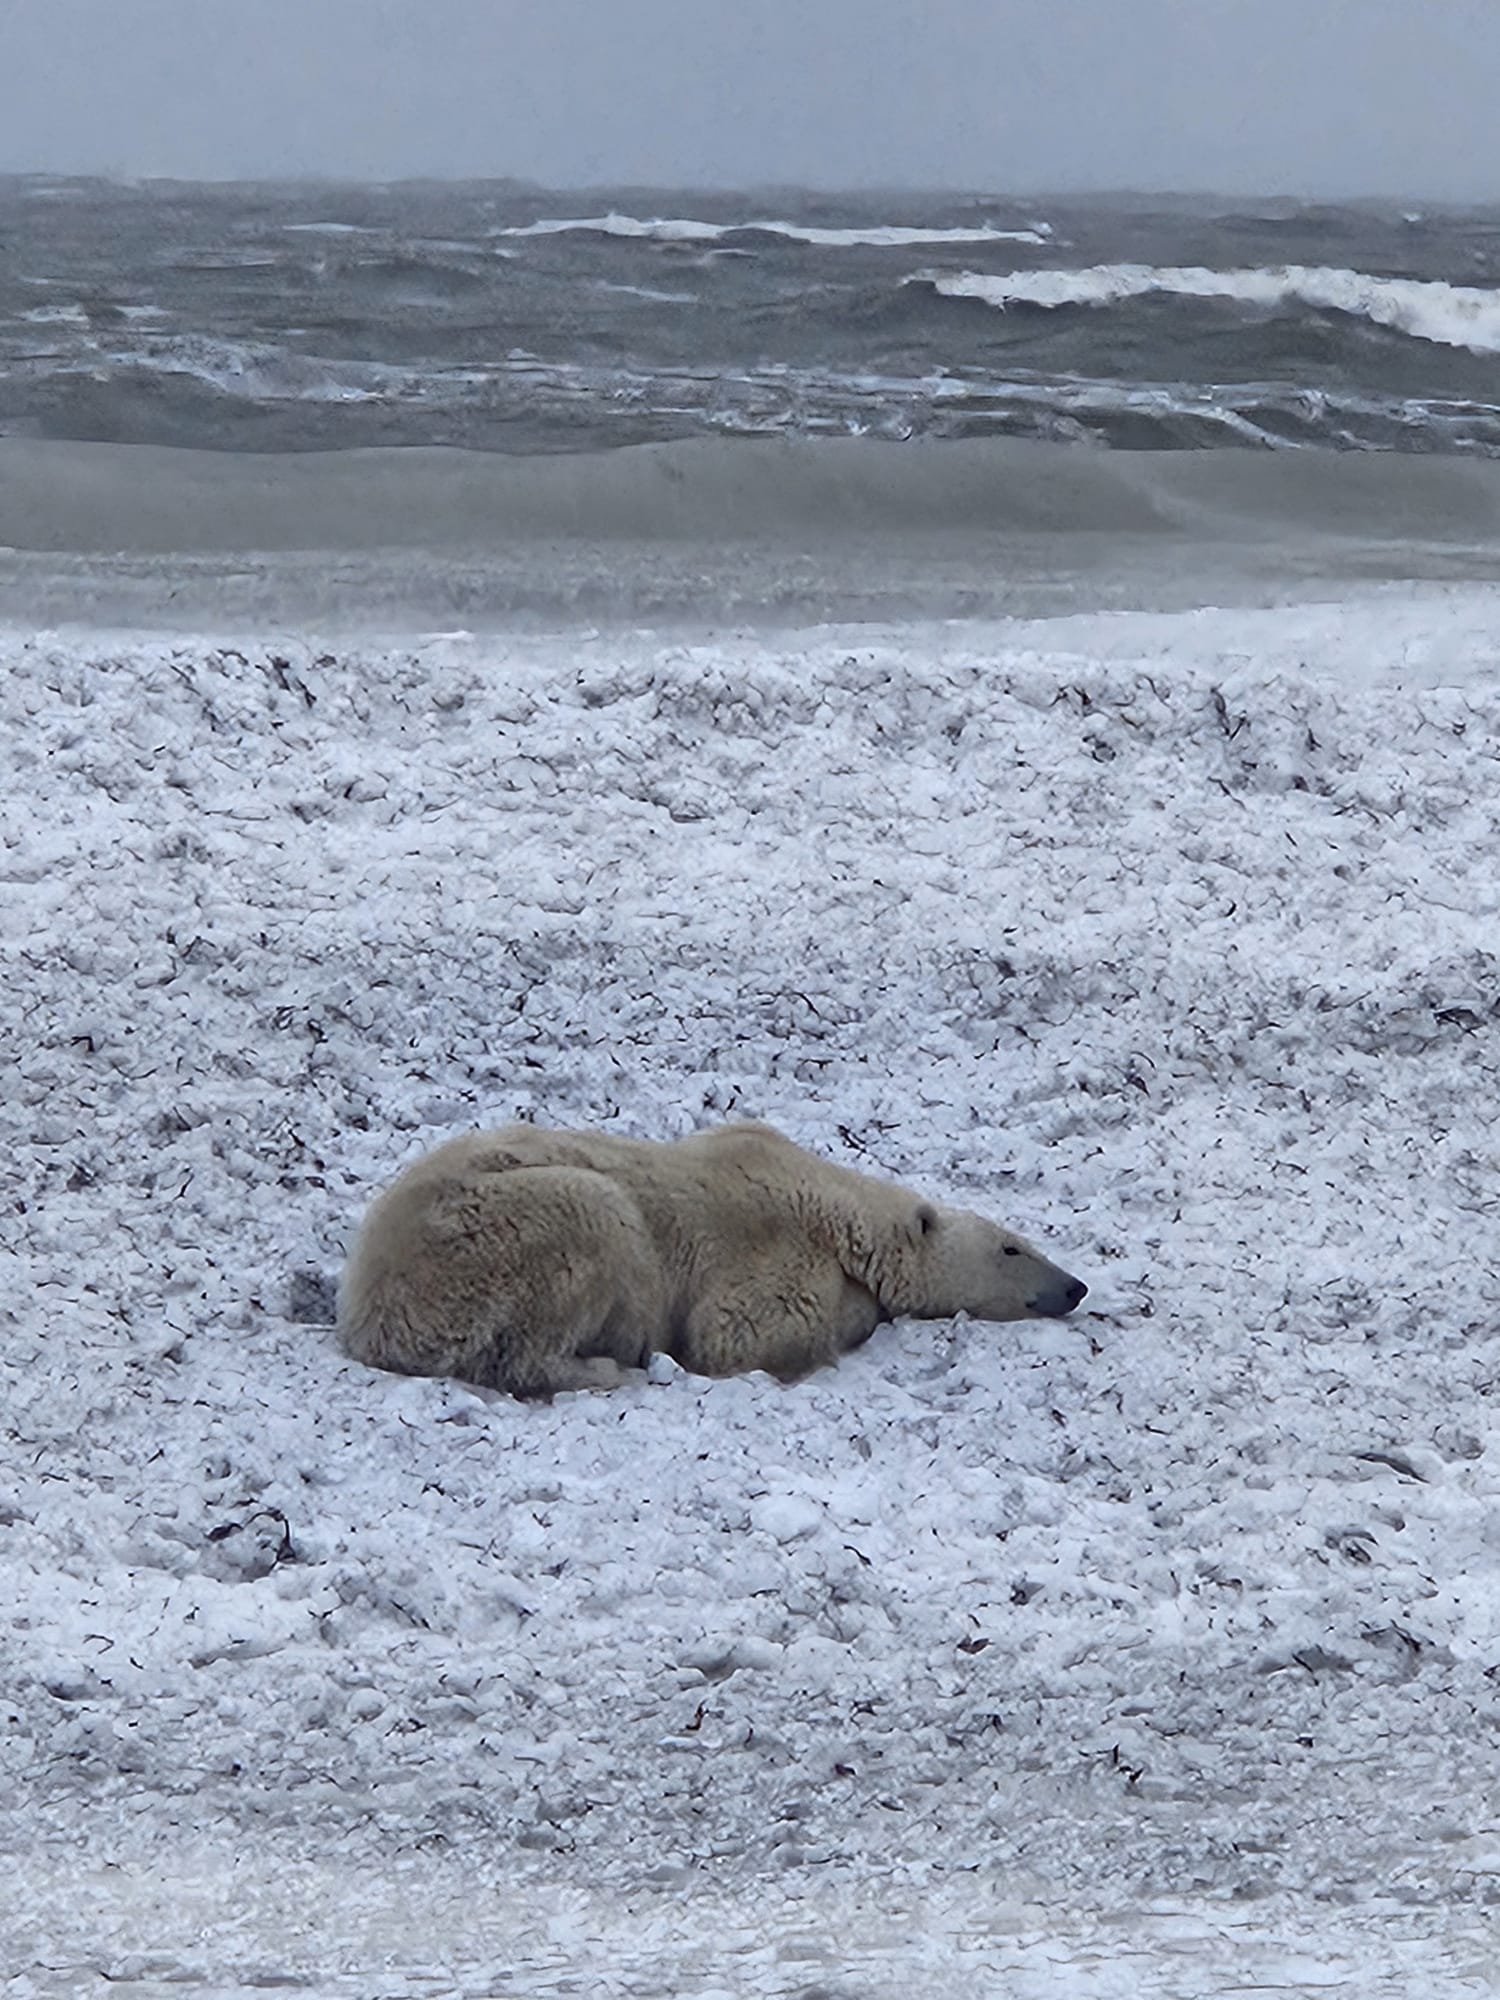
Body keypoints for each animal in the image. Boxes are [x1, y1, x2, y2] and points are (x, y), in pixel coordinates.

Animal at [337, 1120, 1087, 1399]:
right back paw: (608, 1369)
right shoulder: (763, 1245)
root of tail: (367, 1313)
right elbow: (736, 1333)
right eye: (1013, 1247)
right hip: (488, 1238)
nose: (1075, 1287)